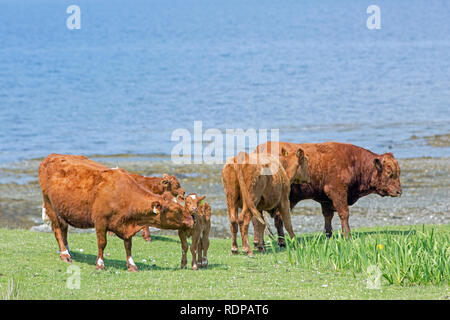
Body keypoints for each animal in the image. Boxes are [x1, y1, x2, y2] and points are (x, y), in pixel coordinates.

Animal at [38, 154, 193, 272]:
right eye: (176, 210)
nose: (191, 220)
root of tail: (51, 156)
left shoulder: (127, 224)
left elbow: (128, 245)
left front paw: (132, 265)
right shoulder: (100, 222)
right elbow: (102, 243)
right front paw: (100, 264)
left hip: (62, 210)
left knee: (64, 229)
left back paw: (67, 250)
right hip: (50, 206)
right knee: (58, 229)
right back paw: (64, 254)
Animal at [255, 141, 402, 241]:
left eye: (398, 172)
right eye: (389, 172)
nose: (399, 192)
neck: (353, 161)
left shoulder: (325, 199)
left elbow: (328, 216)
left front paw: (329, 235)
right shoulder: (337, 192)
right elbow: (344, 214)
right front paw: (347, 236)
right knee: (276, 218)